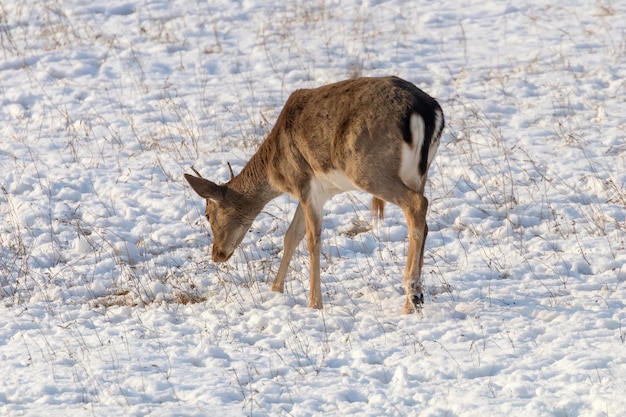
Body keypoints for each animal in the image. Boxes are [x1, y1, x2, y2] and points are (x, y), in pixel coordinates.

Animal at [183, 76, 442, 314]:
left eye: (207, 214)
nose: (217, 254)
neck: (275, 168)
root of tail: (427, 112)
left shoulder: (305, 182)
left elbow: (311, 239)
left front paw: (314, 303)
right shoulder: (320, 190)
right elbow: (291, 236)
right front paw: (275, 290)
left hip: (368, 168)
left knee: (417, 204)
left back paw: (412, 297)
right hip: (419, 173)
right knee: (423, 223)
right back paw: (412, 300)